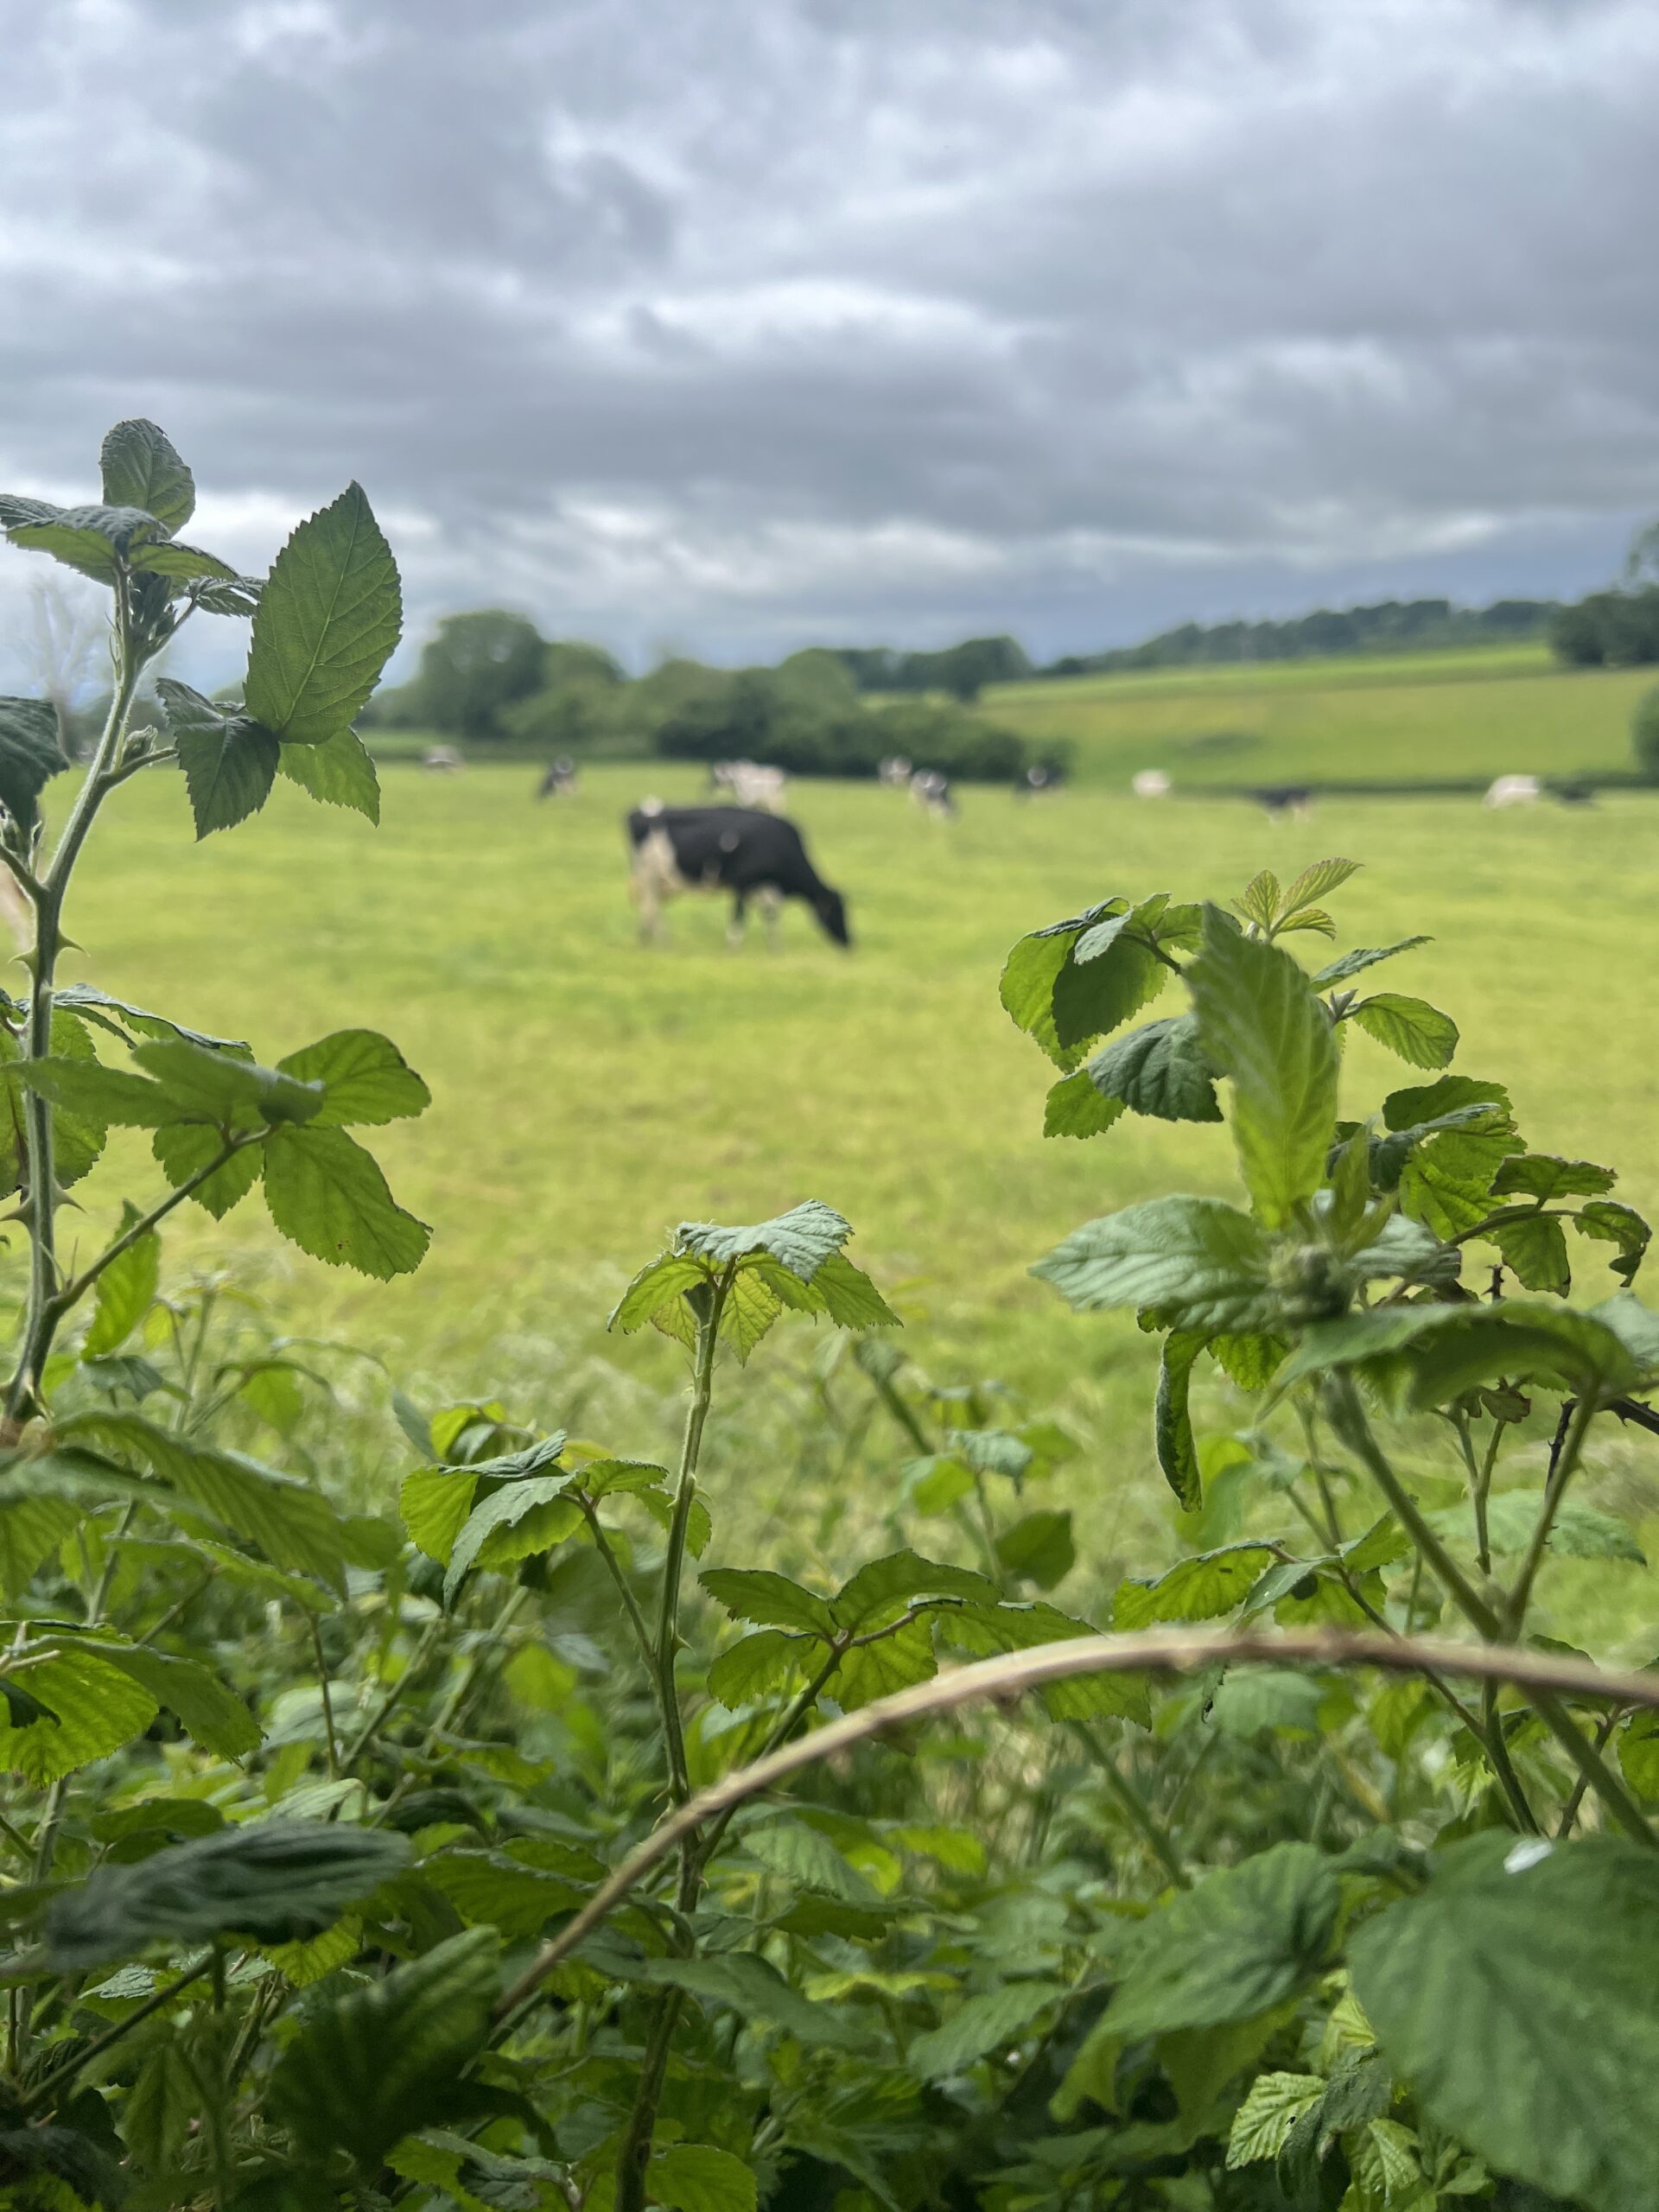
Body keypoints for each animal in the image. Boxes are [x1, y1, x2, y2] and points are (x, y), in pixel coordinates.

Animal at [628, 809, 858, 955]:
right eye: (838, 912)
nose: (849, 942)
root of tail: (642, 816)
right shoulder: (742, 883)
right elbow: (739, 916)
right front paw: (733, 947)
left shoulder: (763, 888)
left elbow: (770, 915)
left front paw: (775, 948)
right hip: (649, 876)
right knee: (651, 909)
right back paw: (660, 942)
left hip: (657, 881)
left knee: (649, 909)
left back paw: (651, 941)